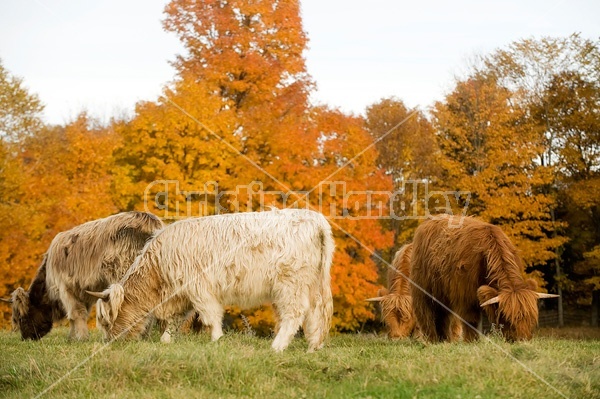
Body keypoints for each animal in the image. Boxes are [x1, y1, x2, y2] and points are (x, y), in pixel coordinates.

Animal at [1, 212, 164, 340]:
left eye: (20, 318)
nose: (25, 338)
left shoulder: (65, 287)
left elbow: (75, 313)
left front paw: (80, 337)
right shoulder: (85, 290)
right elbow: (81, 313)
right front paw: (74, 336)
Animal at [87, 209, 336, 354]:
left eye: (106, 321)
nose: (109, 342)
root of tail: (315, 218)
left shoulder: (199, 288)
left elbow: (211, 316)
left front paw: (216, 340)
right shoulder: (182, 294)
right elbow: (176, 320)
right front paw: (166, 340)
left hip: (290, 283)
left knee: (294, 313)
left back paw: (277, 346)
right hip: (312, 284)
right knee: (316, 312)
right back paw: (313, 346)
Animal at [412, 216, 556, 344]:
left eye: (531, 318)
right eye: (507, 318)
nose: (522, 340)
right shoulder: (466, 297)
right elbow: (471, 320)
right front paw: (471, 341)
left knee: (443, 316)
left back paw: (444, 340)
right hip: (423, 290)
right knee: (426, 313)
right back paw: (432, 340)